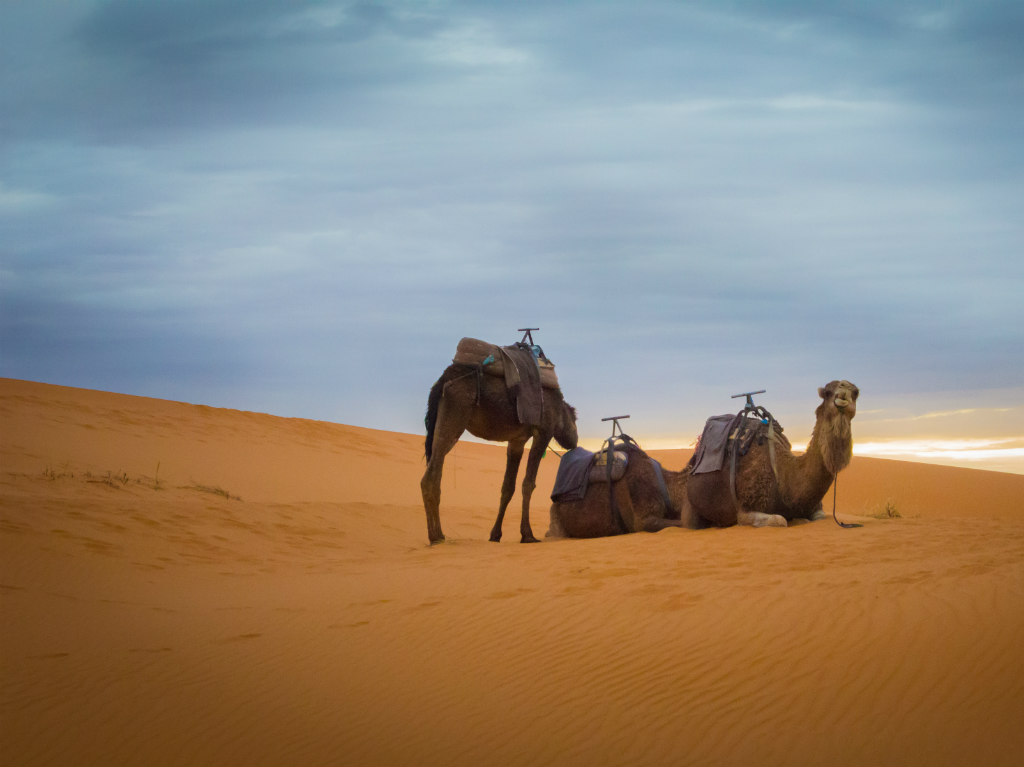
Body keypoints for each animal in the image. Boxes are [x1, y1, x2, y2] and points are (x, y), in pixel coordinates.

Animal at [415, 362, 577, 540]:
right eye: (575, 419)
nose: (575, 440)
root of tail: (443, 379)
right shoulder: (544, 431)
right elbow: (528, 483)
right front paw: (527, 535)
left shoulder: (517, 440)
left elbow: (507, 487)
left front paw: (495, 535)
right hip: (455, 413)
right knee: (432, 475)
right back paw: (437, 536)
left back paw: (436, 535)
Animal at [684, 378, 860, 528]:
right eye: (827, 392)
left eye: (856, 392)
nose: (844, 390)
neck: (786, 477)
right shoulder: (744, 510)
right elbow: (780, 520)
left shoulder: (814, 507)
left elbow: (819, 517)